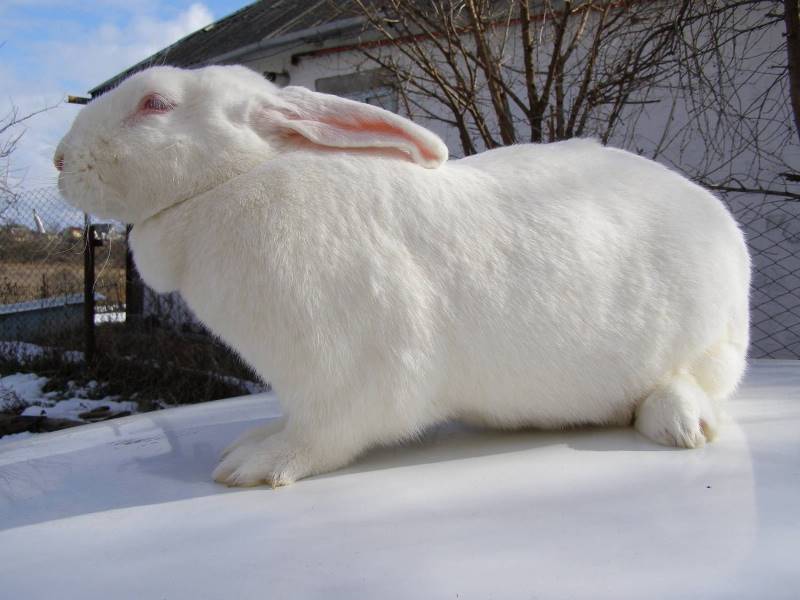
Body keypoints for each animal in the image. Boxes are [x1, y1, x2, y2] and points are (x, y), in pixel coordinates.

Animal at [55, 65, 750, 487]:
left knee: (691, 386)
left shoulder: (346, 373)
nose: (60, 159)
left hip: (707, 346)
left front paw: (254, 464)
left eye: (155, 104)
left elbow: (321, 433)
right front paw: (248, 441)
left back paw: (679, 424)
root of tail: (720, 222)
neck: (237, 178)